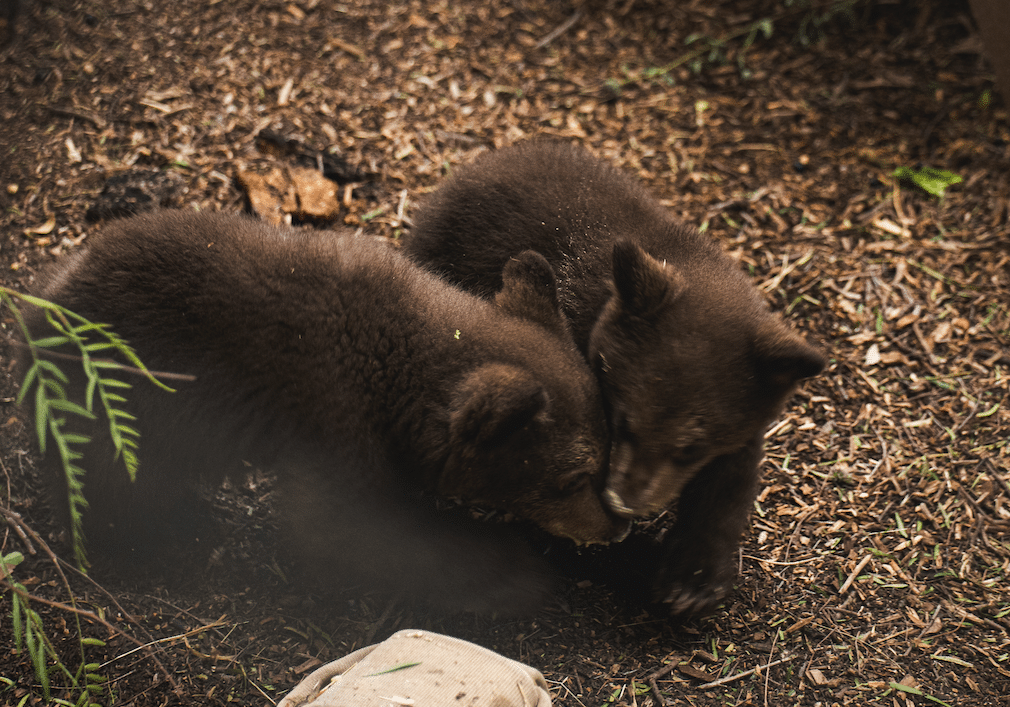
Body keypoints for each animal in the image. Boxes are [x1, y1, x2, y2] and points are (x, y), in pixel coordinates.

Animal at [16, 209, 629, 614]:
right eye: (571, 477)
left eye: (607, 448)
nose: (617, 525)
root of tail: (38, 303)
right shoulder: (334, 415)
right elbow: (344, 529)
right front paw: (513, 570)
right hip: (116, 405)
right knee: (112, 487)